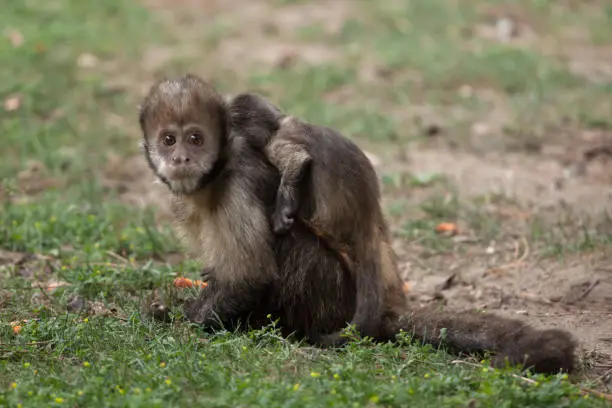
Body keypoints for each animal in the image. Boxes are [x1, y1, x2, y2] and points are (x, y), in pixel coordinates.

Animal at [139, 74, 580, 376]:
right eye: (168, 140)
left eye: (195, 138)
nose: (180, 159)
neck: (213, 175)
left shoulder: (240, 179)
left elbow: (251, 276)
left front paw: (177, 319)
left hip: (333, 296)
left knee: (293, 245)